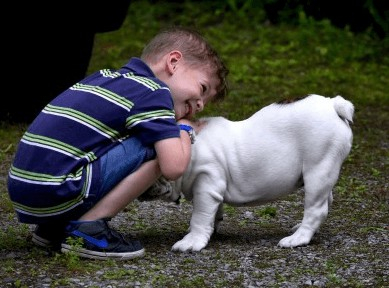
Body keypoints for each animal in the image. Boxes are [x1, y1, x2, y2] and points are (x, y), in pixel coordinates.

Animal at [142, 95, 352, 252]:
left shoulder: (206, 185)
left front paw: (191, 241)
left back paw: (298, 238)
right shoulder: (212, 190)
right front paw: (212, 228)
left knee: (316, 209)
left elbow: (200, 216)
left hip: (318, 169)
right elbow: (214, 212)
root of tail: (333, 104)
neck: (187, 147)